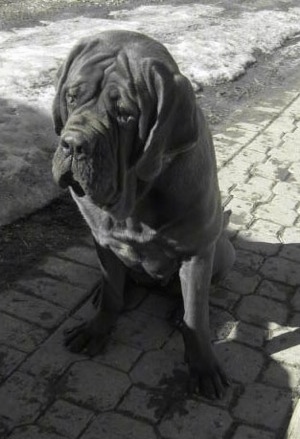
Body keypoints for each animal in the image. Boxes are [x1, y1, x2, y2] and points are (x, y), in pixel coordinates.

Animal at [51, 31, 236, 400]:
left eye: (125, 114)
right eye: (72, 96)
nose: (73, 144)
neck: (134, 201)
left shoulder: (197, 253)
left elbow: (197, 315)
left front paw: (203, 366)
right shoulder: (103, 242)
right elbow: (112, 292)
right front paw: (97, 327)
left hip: (222, 251)